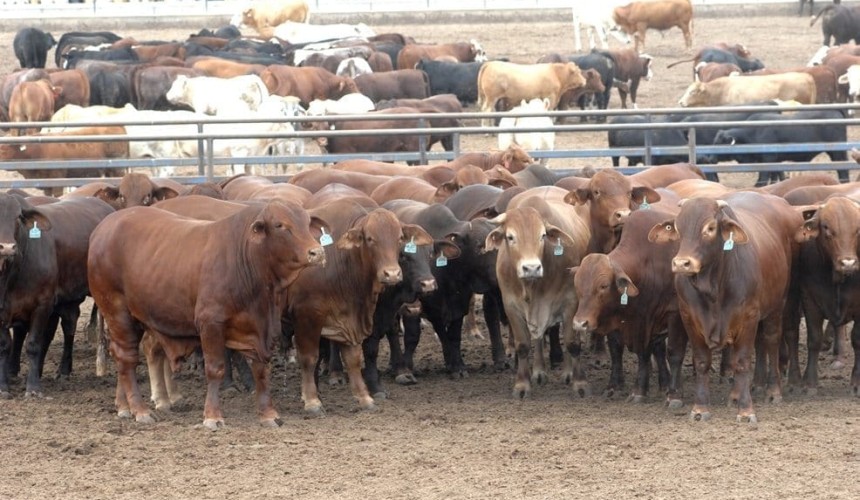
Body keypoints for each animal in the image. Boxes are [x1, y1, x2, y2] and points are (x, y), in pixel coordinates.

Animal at [0, 195, 115, 399]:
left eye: (18, 218)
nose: (6, 247)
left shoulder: (42, 304)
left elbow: (33, 344)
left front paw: (33, 387)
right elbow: (6, 345)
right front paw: (4, 386)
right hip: (67, 299)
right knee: (68, 325)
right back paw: (60, 369)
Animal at [88, 200, 327, 428]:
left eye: (307, 223)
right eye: (280, 225)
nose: (317, 252)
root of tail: (104, 227)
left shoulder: (261, 329)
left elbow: (261, 370)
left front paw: (269, 414)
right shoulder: (210, 323)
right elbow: (215, 369)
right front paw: (213, 416)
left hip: (135, 318)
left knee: (120, 356)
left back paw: (123, 406)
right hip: (118, 313)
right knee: (126, 358)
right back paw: (140, 410)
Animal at [647, 193, 802, 423]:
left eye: (710, 228)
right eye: (677, 227)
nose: (682, 263)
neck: (713, 288)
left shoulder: (749, 317)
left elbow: (742, 362)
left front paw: (746, 410)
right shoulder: (689, 317)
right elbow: (702, 361)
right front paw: (700, 408)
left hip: (776, 306)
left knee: (771, 342)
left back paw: (773, 391)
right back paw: (736, 395)